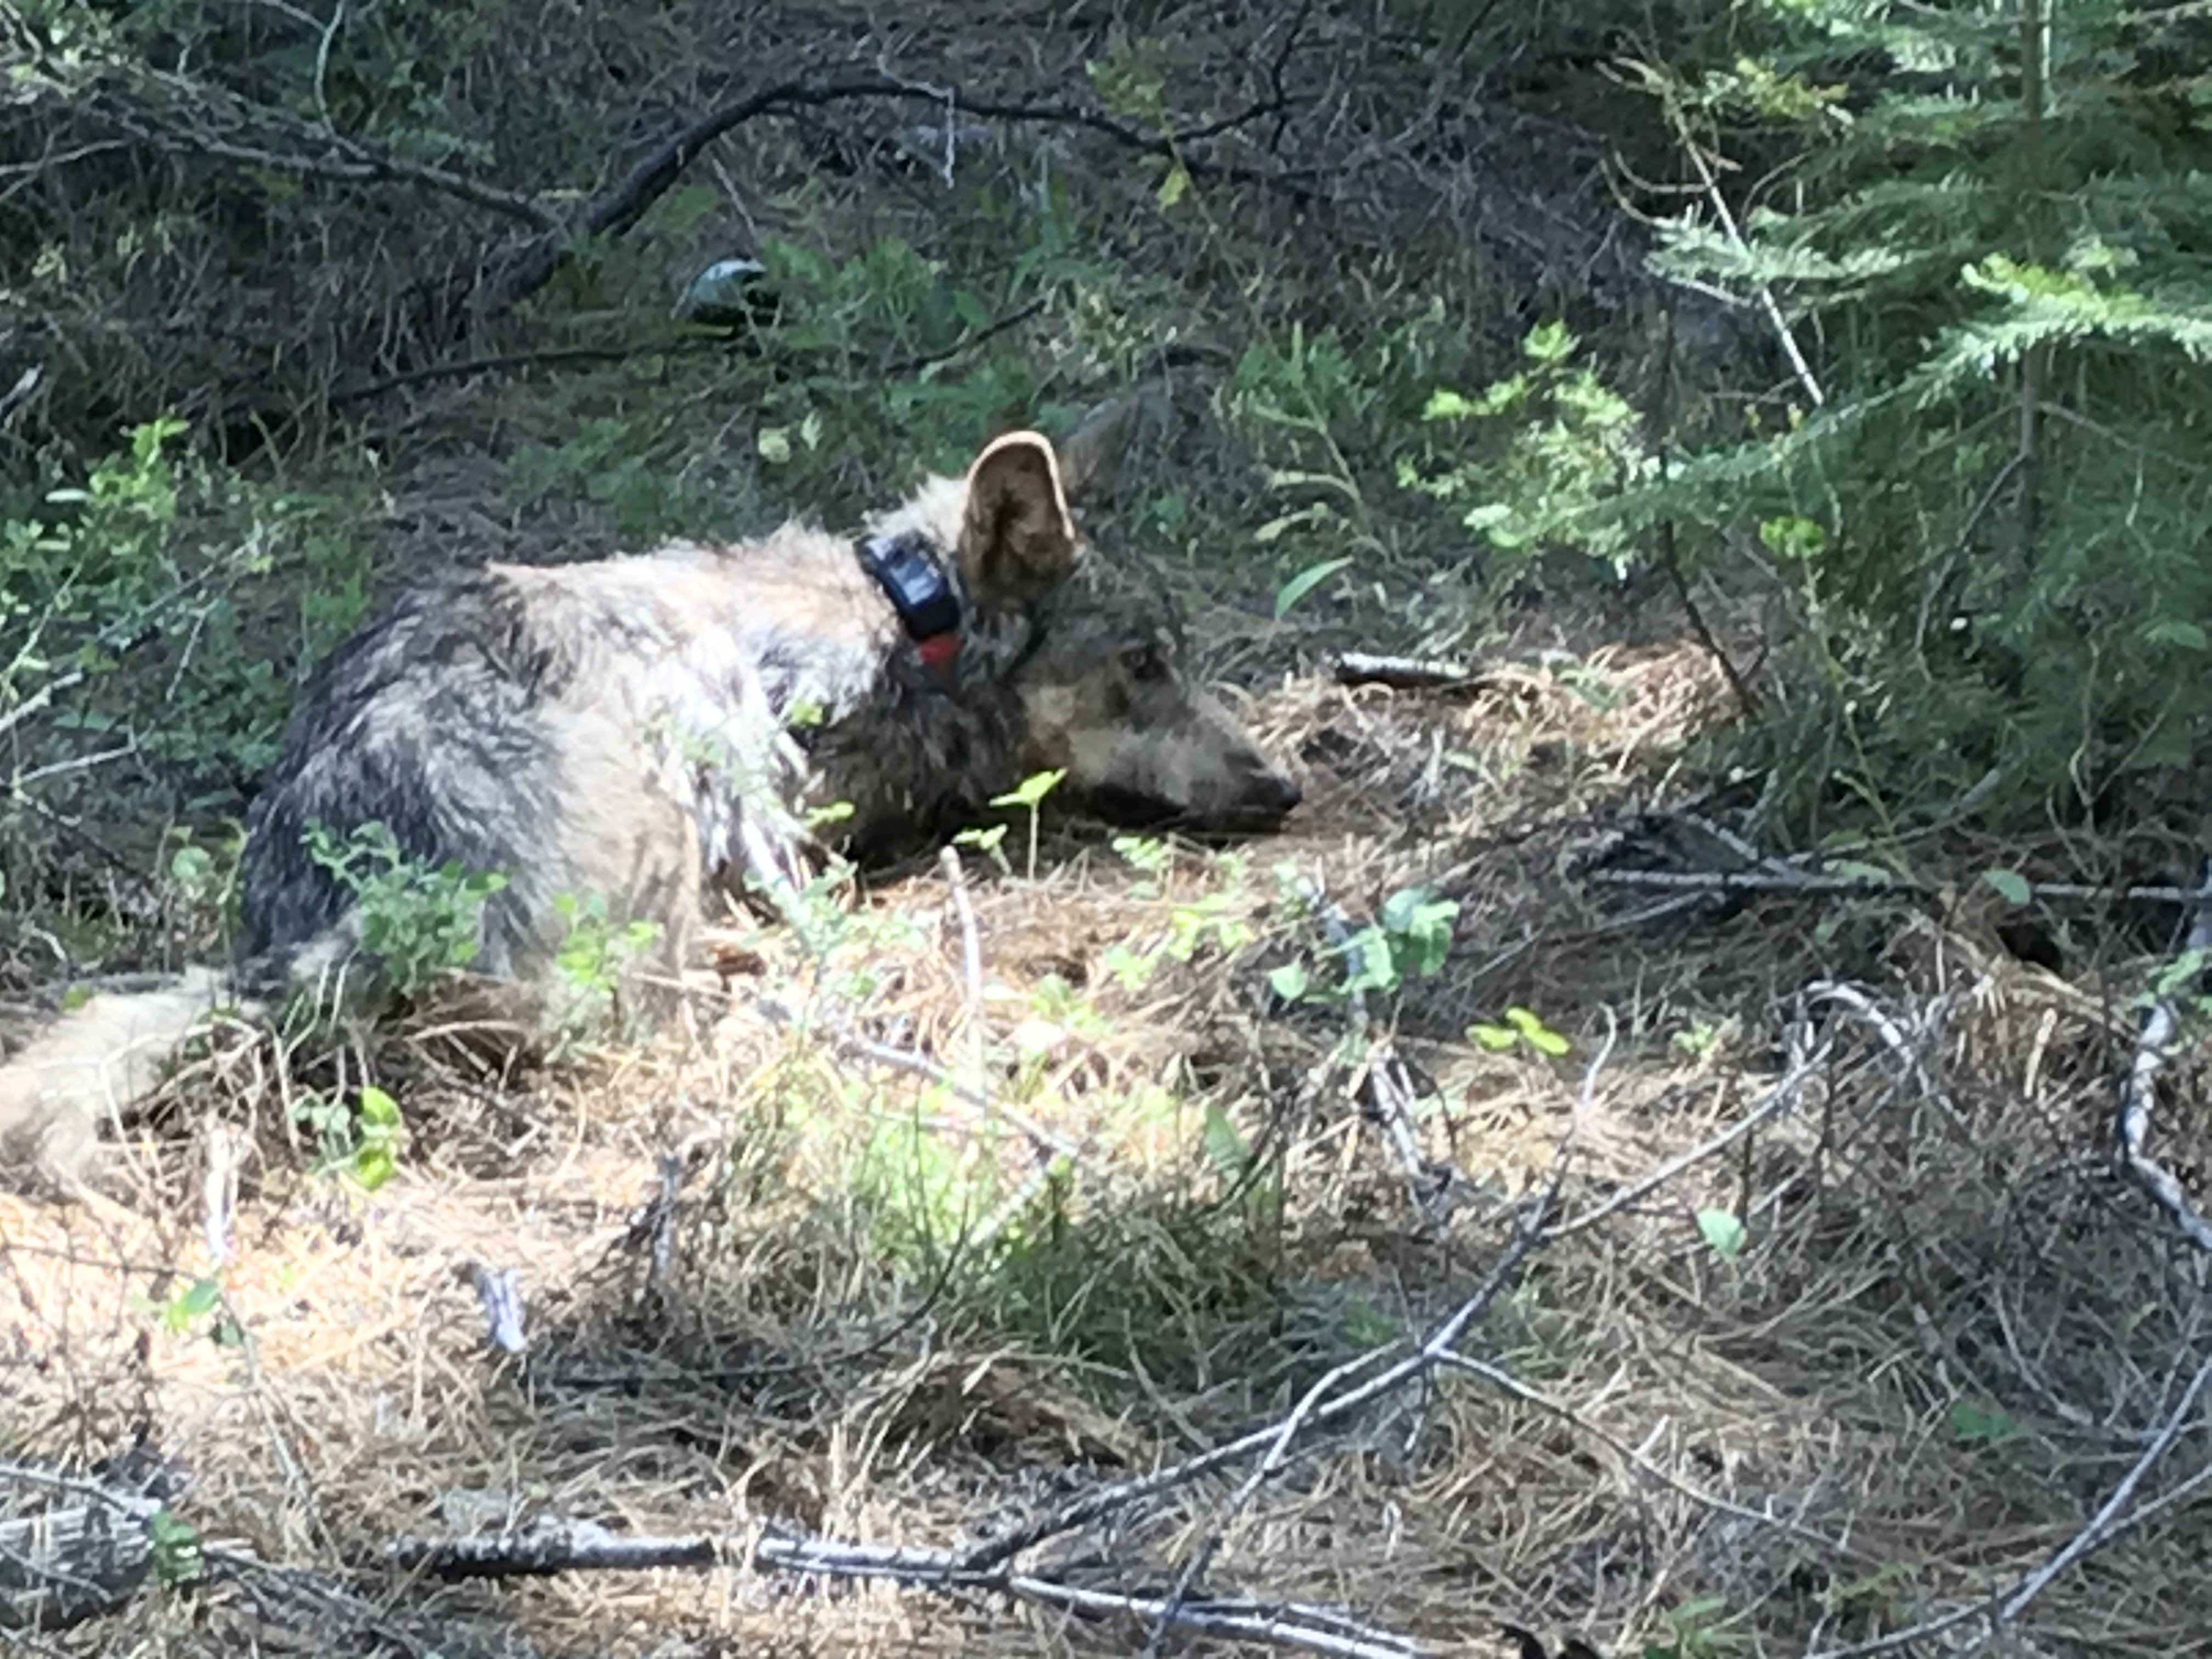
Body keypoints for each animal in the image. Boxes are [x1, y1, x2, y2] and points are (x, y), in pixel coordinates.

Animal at [0, 398, 1302, 1189]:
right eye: (1144, 665)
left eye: (1183, 655)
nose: (1288, 786)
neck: (900, 621)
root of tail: (359, 893)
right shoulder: (769, 822)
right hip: (658, 827)